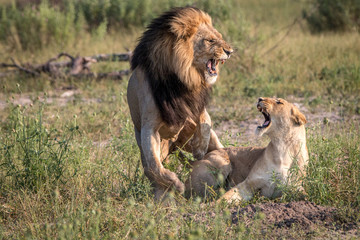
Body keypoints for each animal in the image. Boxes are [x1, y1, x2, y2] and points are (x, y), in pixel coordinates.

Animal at [126, 7, 233, 201]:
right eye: (210, 40)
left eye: (219, 36)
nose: (230, 51)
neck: (182, 78)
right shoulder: (149, 127)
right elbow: (154, 165)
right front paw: (174, 184)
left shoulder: (195, 106)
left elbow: (206, 121)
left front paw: (199, 148)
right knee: (150, 167)